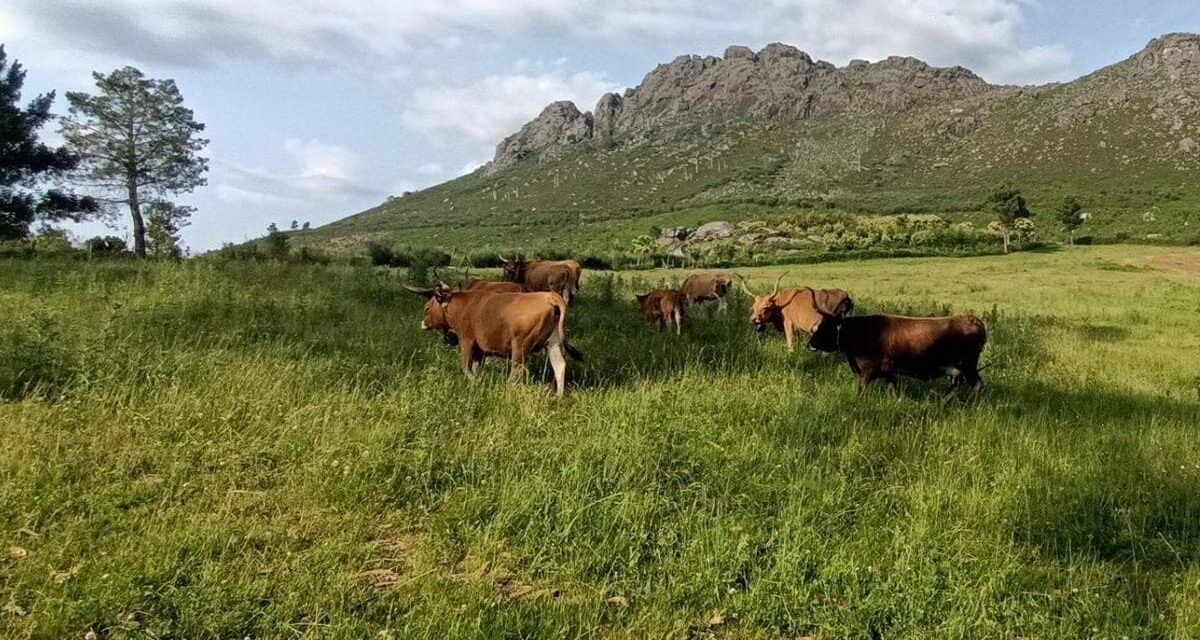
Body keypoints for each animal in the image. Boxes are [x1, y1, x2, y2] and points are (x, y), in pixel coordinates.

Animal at [806, 309, 984, 393]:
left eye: (824, 327)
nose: (809, 344)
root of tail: (970, 318)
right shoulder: (888, 372)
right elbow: (892, 391)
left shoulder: (867, 370)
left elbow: (861, 390)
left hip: (967, 366)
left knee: (977, 386)